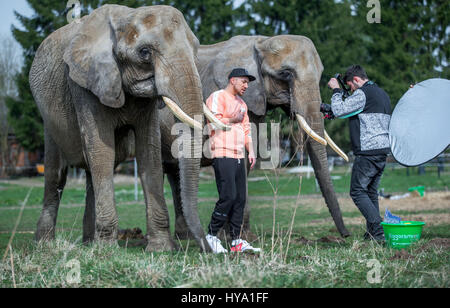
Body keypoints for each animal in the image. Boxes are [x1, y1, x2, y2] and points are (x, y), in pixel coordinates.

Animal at [30, 3, 211, 251]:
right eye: (144, 52)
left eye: (195, 50)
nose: (209, 249)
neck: (127, 15)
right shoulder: (84, 82)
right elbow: (102, 150)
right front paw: (107, 251)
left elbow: (149, 152)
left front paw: (161, 249)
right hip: (49, 123)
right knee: (55, 175)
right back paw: (46, 245)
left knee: (91, 174)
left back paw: (89, 243)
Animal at [161, 35, 352, 239]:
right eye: (286, 74)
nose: (346, 235)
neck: (260, 41)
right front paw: (237, 237)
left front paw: (234, 236)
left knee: (175, 174)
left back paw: (185, 237)